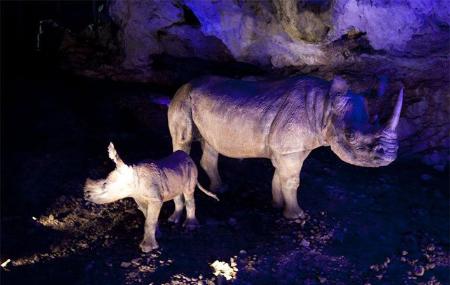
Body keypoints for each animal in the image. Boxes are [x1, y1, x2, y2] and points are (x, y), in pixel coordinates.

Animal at [85, 142, 219, 251]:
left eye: (105, 185)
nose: (86, 195)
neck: (134, 177)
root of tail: (189, 157)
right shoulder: (139, 197)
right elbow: (148, 217)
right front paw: (157, 235)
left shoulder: (155, 199)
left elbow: (149, 221)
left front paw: (147, 248)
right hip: (175, 174)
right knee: (176, 193)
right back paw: (172, 220)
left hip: (190, 168)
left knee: (188, 193)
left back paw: (190, 227)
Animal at [167, 74, 402, 219]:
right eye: (350, 136)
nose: (390, 156)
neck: (324, 107)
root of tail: (183, 85)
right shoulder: (289, 149)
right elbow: (291, 180)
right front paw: (296, 215)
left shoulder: (290, 148)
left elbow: (280, 176)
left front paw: (277, 205)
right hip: (182, 101)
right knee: (183, 141)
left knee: (211, 144)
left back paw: (220, 188)